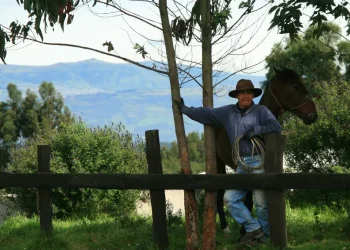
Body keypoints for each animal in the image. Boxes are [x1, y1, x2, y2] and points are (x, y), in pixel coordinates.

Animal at [215, 67, 318, 234]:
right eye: (296, 87)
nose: (313, 115)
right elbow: (247, 202)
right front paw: (245, 231)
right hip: (218, 163)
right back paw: (225, 228)